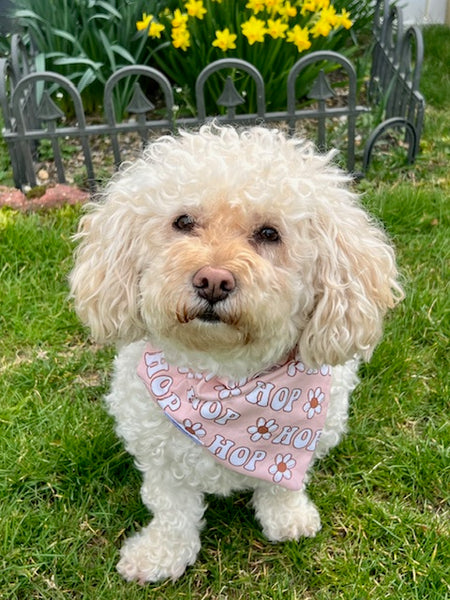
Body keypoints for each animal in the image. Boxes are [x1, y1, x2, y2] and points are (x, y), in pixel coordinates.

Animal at [71, 125, 404, 580]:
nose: (213, 280)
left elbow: (283, 485)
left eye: (269, 233)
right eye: (183, 222)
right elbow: (172, 510)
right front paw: (161, 554)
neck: (223, 378)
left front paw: (287, 518)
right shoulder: (160, 458)